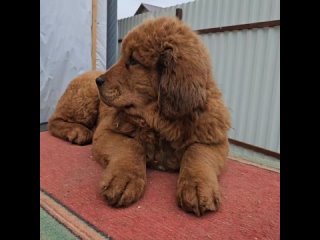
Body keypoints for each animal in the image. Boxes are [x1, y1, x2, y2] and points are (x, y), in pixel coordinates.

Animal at [48, 16, 230, 216]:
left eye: (133, 61)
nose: (99, 81)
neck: (158, 121)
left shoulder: (215, 140)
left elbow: (196, 152)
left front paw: (197, 187)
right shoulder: (106, 131)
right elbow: (132, 145)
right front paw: (124, 178)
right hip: (84, 98)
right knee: (53, 121)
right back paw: (76, 131)